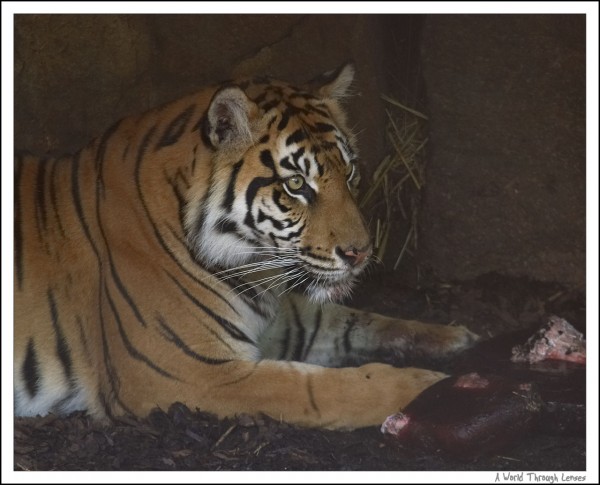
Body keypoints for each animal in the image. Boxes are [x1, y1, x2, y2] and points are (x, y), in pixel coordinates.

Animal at [12, 63, 478, 428]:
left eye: (349, 173)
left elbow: (353, 320)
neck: (254, 266)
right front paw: (428, 386)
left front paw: (453, 336)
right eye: (297, 184)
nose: (360, 253)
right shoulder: (194, 373)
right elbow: (320, 387)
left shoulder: (278, 320)